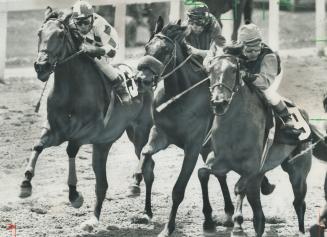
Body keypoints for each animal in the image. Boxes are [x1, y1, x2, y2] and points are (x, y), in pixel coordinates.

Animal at [18, 8, 156, 231]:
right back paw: (93, 220)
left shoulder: (87, 132)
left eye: (60, 35)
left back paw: (145, 210)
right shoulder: (55, 131)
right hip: (103, 145)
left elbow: (71, 149)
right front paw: (25, 183)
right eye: (40, 33)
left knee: (148, 169)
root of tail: (146, 78)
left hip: (140, 134)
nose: (41, 66)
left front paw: (75, 195)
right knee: (102, 184)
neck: (71, 90)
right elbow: (37, 146)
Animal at [199, 54, 327, 237]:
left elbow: (238, 188)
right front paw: (209, 221)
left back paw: (302, 230)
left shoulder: (252, 168)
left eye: (233, 70)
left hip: (298, 171)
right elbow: (202, 173)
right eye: (210, 71)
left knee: (299, 203)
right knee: (259, 217)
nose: (219, 102)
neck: (234, 125)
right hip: (260, 179)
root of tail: (304, 115)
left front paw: (237, 226)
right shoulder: (220, 161)